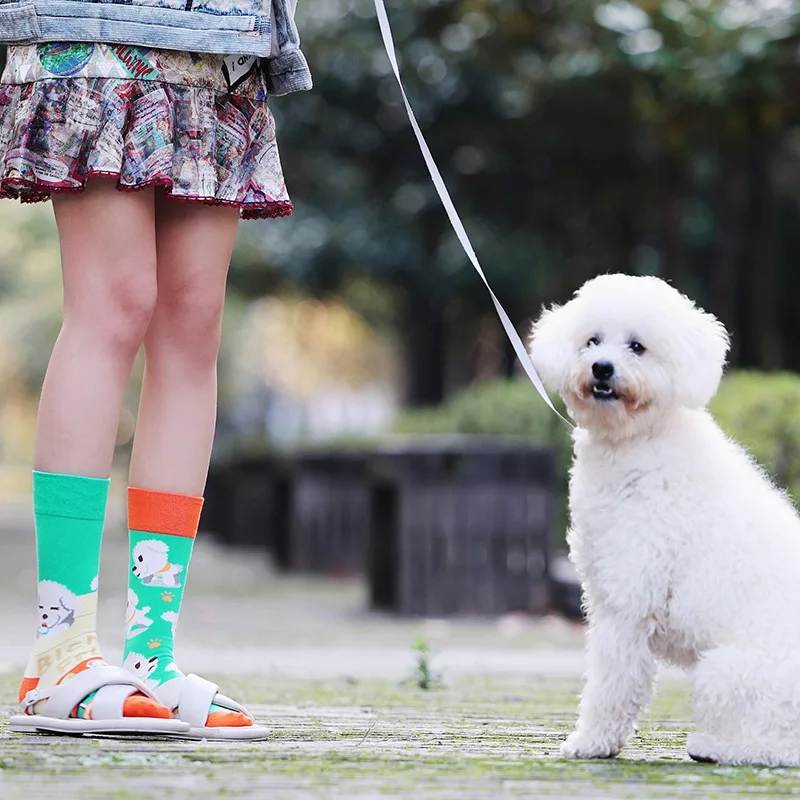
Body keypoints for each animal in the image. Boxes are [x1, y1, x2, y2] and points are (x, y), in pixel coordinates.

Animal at [528, 276, 800, 768]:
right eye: (591, 340)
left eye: (638, 346)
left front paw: (592, 741)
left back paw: (713, 745)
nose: (601, 368)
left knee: (778, 748)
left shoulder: (625, 603)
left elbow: (612, 683)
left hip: (724, 673)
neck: (637, 444)